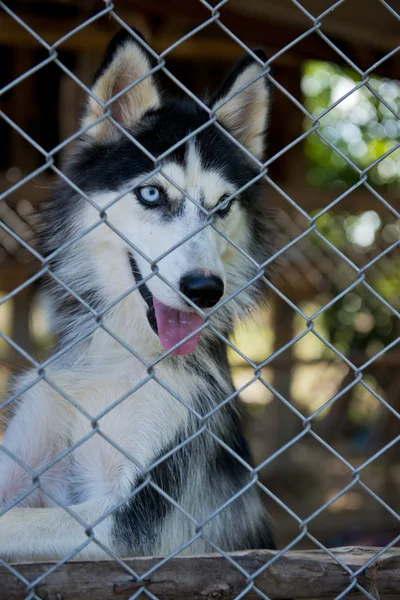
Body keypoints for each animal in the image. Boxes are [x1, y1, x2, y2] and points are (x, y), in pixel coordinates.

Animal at [0, 30, 276, 560]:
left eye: (223, 205)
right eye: (151, 194)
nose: (205, 290)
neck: (118, 356)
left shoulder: (133, 524)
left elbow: (18, 520)